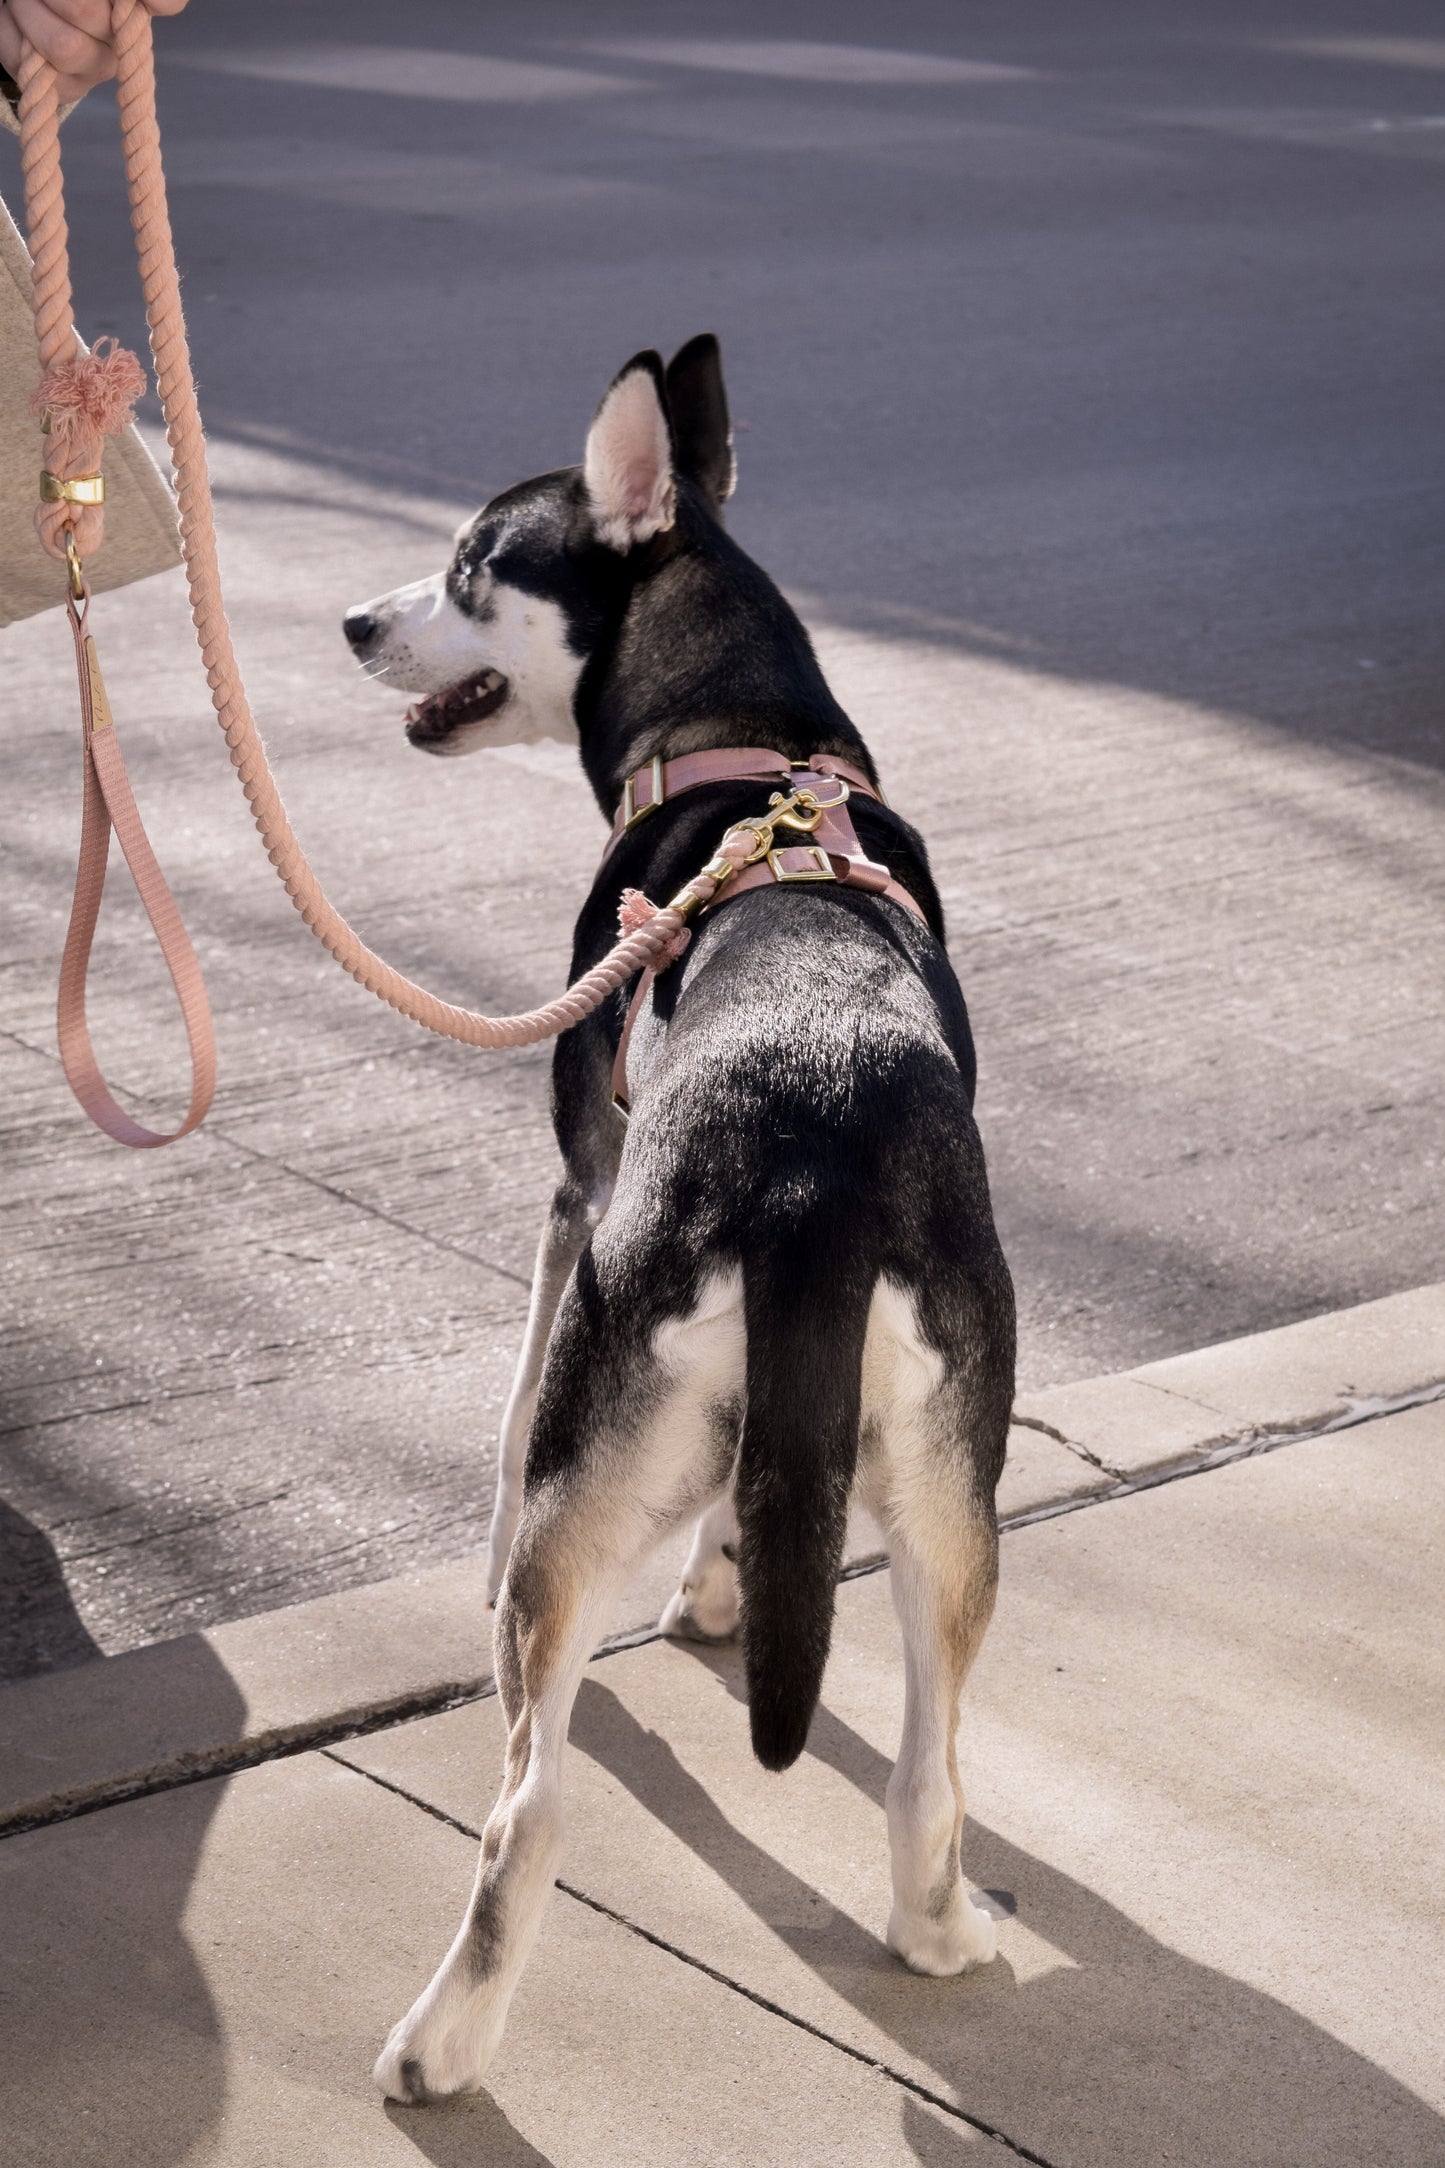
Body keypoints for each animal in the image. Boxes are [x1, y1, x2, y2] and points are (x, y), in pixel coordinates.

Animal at [342, 338, 1018, 2098]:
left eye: (470, 563)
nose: (353, 622)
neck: (746, 746)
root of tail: (814, 1156)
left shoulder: (577, 1194)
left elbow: (508, 1423)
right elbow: (754, 1495)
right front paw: (721, 1587)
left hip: (599, 1442)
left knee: (527, 1806)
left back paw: (440, 2044)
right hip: (953, 1500)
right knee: (929, 1771)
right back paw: (937, 1931)